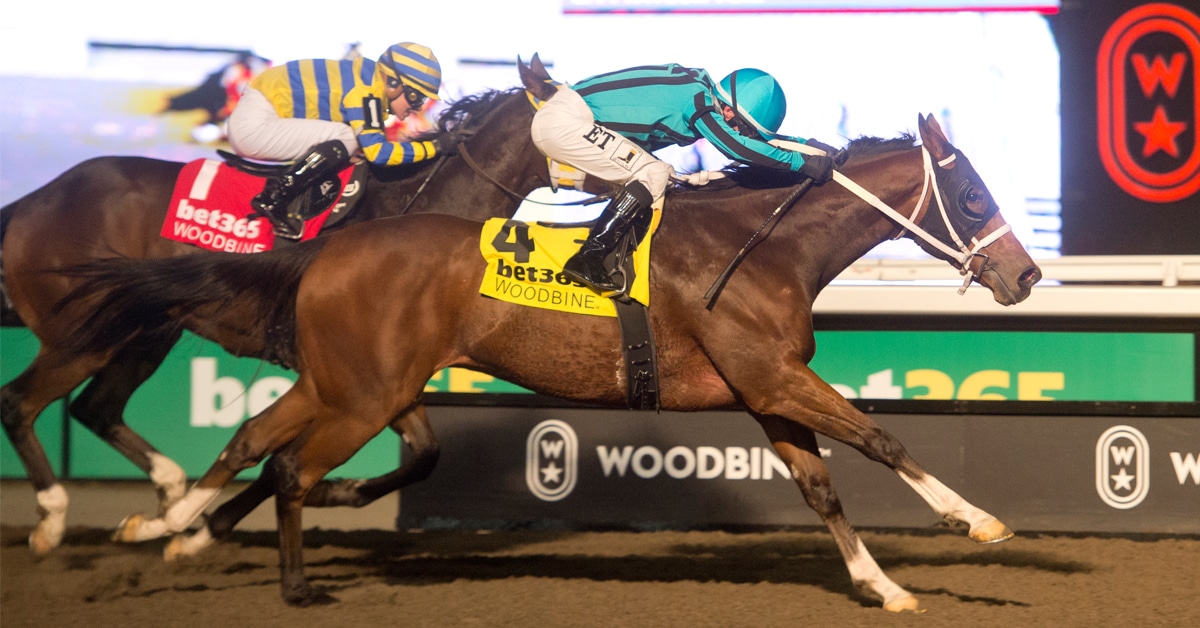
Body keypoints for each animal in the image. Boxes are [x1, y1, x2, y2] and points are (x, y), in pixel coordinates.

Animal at [0, 83, 595, 555]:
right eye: (592, 129)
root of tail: (34, 201)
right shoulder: (357, 373)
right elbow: (282, 454)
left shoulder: (386, 376)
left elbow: (424, 453)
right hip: (82, 335)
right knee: (20, 401)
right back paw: (52, 521)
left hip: (146, 331)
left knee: (95, 408)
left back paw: (168, 491)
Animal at [52, 110, 1042, 611]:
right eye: (969, 193)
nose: (1027, 275)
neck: (762, 249)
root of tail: (329, 248)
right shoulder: (772, 376)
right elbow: (879, 440)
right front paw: (980, 523)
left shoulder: (765, 392)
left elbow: (822, 486)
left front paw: (881, 585)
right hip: (366, 391)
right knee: (289, 464)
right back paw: (274, 574)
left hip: (343, 380)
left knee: (257, 439)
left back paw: (167, 525)